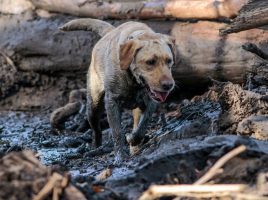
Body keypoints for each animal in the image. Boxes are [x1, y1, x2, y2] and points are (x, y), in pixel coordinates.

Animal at [61, 18, 177, 162]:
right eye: (150, 62)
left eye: (169, 61)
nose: (169, 85)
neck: (133, 81)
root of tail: (109, 32)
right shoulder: (112, 102)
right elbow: (117, 131)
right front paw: (120, 156)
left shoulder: (150, 102)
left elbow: (143, 125)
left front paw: (133, 139)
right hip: (93, 105)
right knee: (96, 128)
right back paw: (96, 146)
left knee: (136, 123)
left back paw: (134, 147)